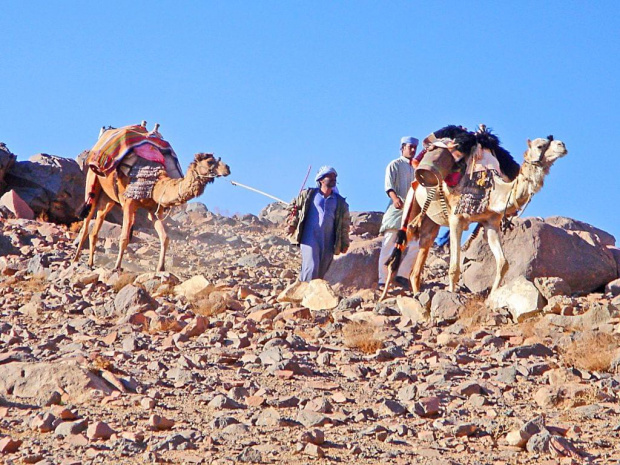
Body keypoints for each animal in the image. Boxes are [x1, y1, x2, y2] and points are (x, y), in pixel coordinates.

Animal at [72, 151, 231, 272]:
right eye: (210, 161)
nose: (227, 168)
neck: (156, 185)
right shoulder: (129, 203)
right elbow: (124, 237)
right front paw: (117, 267)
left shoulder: (153, 211)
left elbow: (165, 237)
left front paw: (161, 268)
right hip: (93, 185)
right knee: (86, 223)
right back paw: (76, 259)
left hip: (108, 198)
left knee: (96, 226)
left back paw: (90, 263)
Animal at [378, 136, 568, 300]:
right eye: (540, 146)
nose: (562, 145)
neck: (492, 189)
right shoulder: (456, 220)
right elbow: (454, 267)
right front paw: (451, 295)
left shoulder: (491, 223)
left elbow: (503, 263)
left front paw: (493, 296)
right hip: (412, 203)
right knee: (401, 243)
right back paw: (383, 295)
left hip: (431, 221)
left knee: (423, 247)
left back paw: (417, 294)